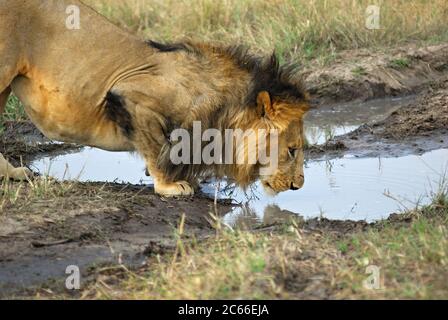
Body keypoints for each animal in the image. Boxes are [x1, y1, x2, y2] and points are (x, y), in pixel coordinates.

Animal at [0, 0, 308, 196]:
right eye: (292, 150)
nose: (297, 187)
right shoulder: (130, 96)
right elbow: (157, 148)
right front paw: (170, 186)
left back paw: (13, 174)